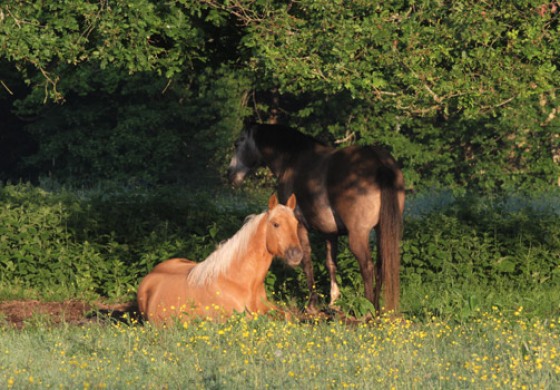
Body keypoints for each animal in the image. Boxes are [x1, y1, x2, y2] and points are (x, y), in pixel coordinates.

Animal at [228, 125, 406, 314]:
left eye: (237, 143)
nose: (229, 174)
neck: (293, 159)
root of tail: (378, 160)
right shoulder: (330, 232)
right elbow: (331, 264)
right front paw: (333, 302)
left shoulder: (299, 226)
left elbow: (306, 261)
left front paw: (312, 305)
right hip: (381, 231)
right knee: (381, 266)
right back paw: (378, 309)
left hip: (359, 235)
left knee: (367, 267)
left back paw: (369, 309)